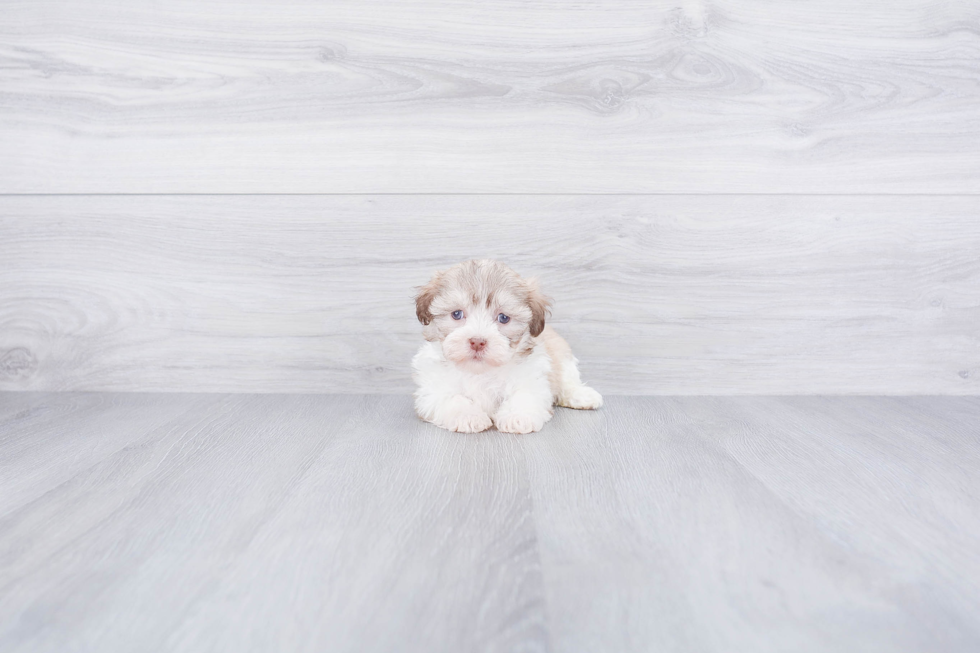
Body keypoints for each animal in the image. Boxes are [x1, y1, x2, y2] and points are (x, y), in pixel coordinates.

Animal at [410, 258, 600, 432]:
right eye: (457, 314)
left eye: (503, 318)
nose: (477, 342)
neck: (480, 371)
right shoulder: (433, 390)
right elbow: (452, 398)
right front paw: (468, 416)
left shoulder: (532, 377)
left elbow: (524, 395)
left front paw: (517, 416)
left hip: (562, 354)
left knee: (567, 380)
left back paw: (583, 395)